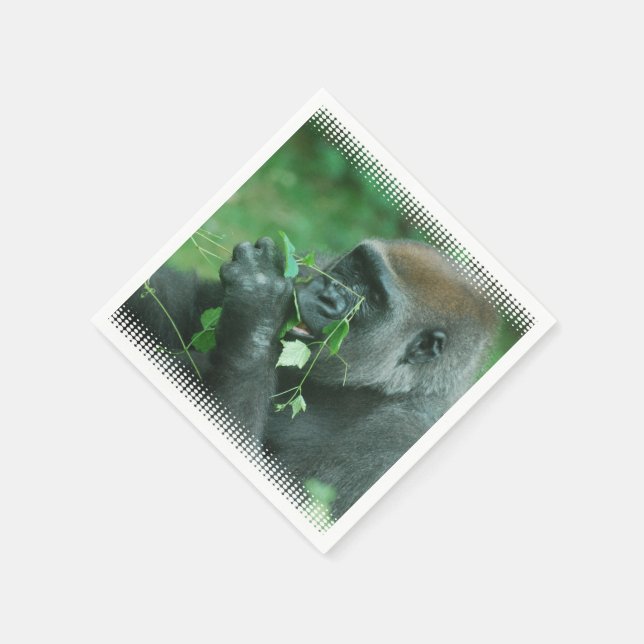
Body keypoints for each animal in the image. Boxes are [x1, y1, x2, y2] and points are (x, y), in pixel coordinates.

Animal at [127, 237, 498, 518]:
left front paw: (257, 296)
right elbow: (173, 309)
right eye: (352, 269)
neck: (379, 387)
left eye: (372, 297)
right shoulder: (301, 272)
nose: (326, 294)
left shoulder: (401, 437)